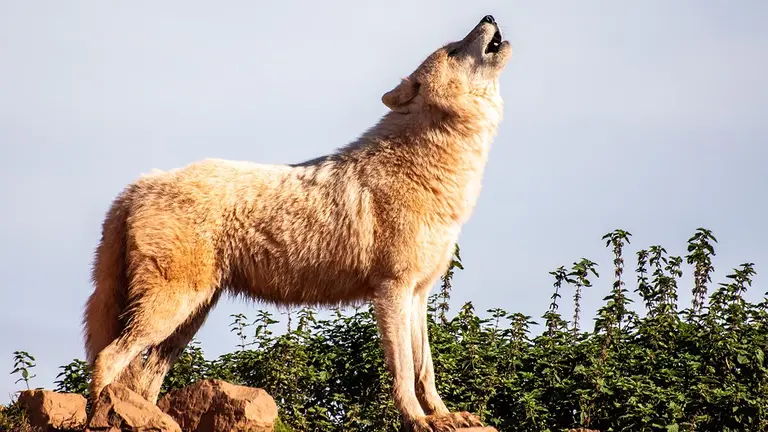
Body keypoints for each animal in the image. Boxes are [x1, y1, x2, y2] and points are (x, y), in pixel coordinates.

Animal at [83, 14, 511, 431]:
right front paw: (419, 421)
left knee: (143, 380)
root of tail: (136, 186)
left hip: (188, 318)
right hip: (170, 309)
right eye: (454, 49)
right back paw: (103, 415)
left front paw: (445, 416)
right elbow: (404, 370)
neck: (427, 166)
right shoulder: (392, 290)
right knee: (107, 358)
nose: (489, 15)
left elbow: (426, 369)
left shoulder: (419, 294)